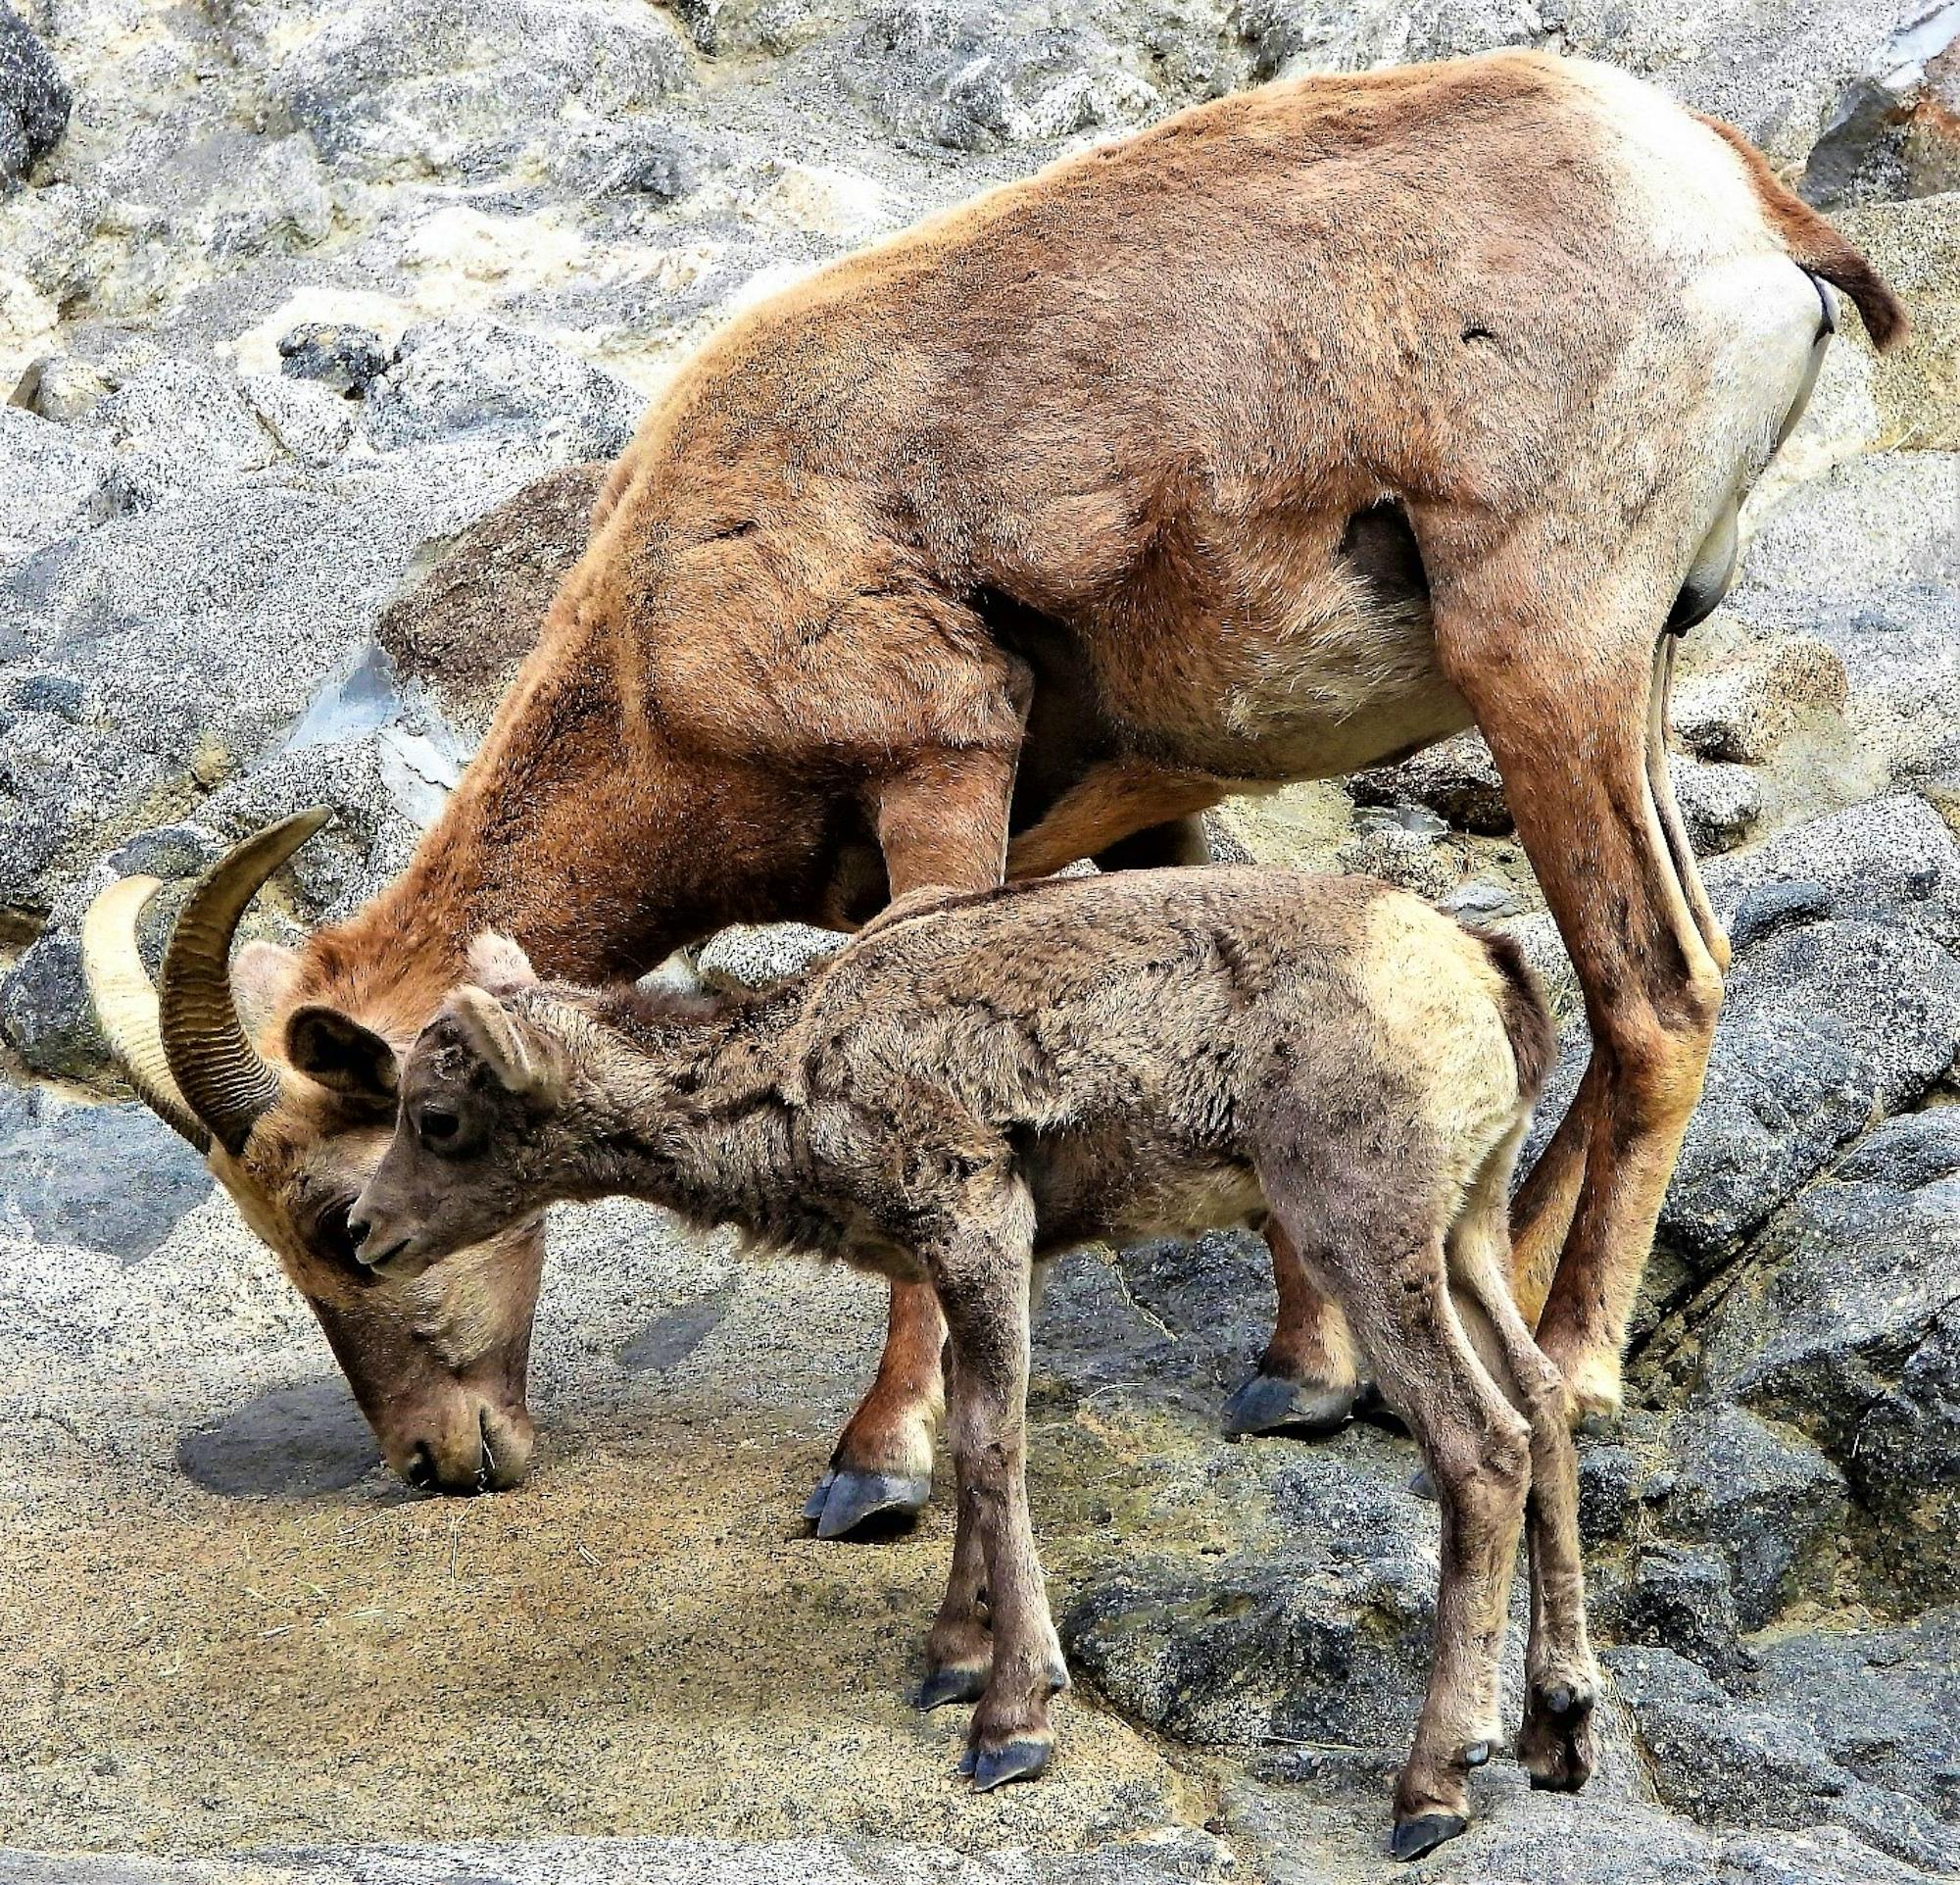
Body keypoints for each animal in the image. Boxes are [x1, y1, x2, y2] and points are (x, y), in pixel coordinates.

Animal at [84, 47, 1905, 1528]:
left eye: (336, 1215)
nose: (442, 1454)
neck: (670, 620)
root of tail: (1745, 206)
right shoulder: (1155, 802)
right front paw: (1302, 1371)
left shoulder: (939, 773)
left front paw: (871, 1466)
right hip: (1628, 673)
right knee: (1661, 971)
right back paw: (1483, 1303)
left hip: (1548, 653)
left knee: (1657, 985)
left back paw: (1579, 1361)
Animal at [345, 862, 1584, 1850]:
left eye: (439, 1118)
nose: (364, 1231)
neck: (796, 1087)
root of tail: (1488, 978)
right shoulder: (997, 1257)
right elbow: (962, 1435)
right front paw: (951, 1658)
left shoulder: (974, 1215)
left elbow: (991, 1446)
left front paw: (1011, 1721)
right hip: (1466, 1220)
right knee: (1543, 1396)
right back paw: (1556, 1730)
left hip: (1359, 1222)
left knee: (1481, 1443)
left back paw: (1433, 1786)